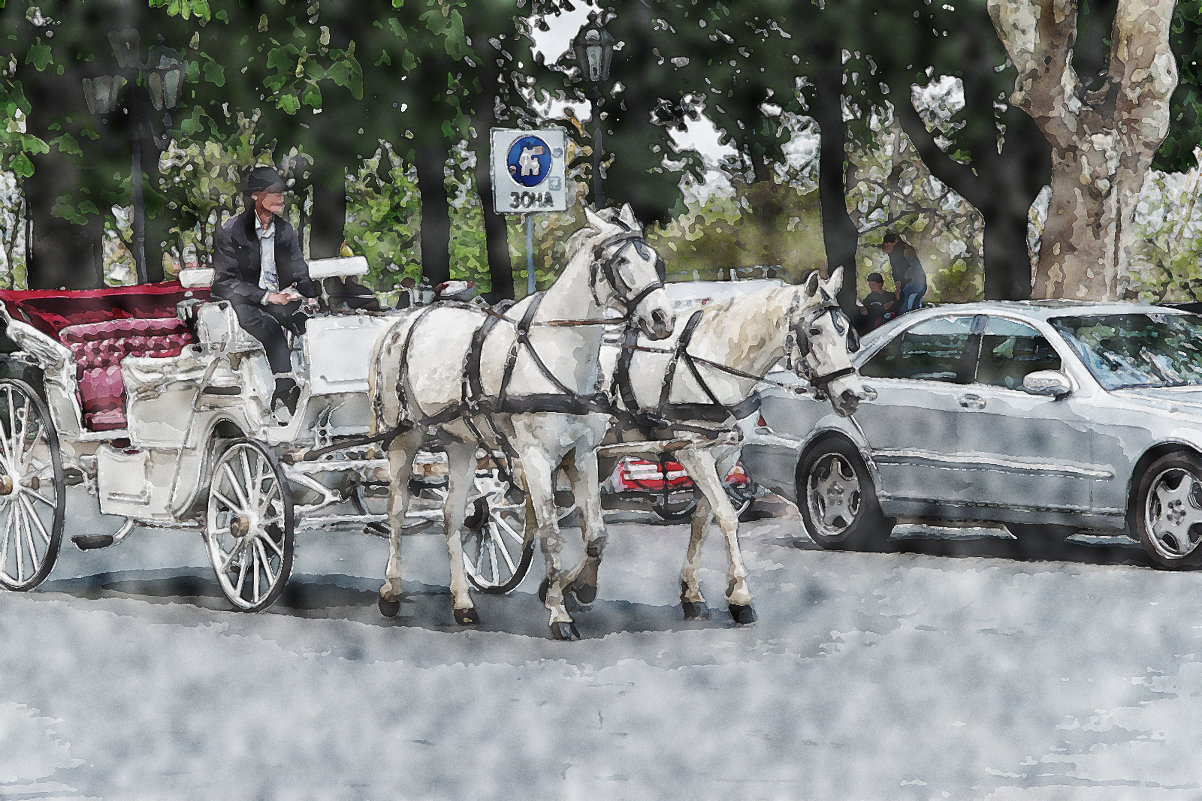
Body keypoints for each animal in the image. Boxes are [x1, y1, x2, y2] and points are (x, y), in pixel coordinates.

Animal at [365, 204, 677, 635]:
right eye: (621, 262)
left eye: (655, 260)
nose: (663, 318)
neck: (558, 351)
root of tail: (401, 322)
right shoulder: (535, 457)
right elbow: (550, 534)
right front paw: (559, 611)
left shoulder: (583, 454)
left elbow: (596, 533)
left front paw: (581, 586)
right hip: (402, 439)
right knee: (396, 512)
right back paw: (391, 590)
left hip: (460, 443)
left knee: (452, 516)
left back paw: (463, 602)